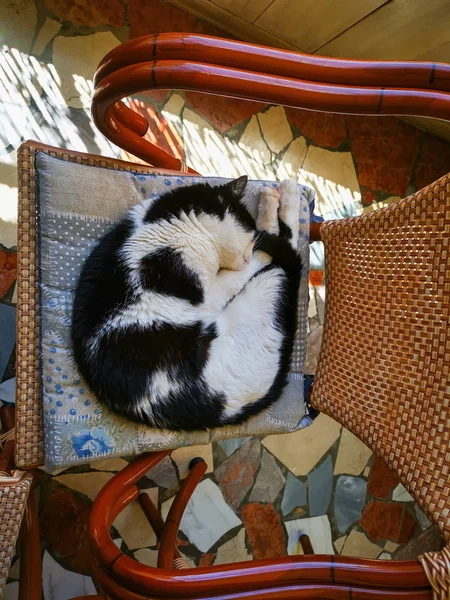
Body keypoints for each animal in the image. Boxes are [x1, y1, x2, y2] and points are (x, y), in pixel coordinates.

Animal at [72, 176, 300, 428]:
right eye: (249, 241)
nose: (246, 257)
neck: (179, 223)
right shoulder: (210, 293)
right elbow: (259, 254)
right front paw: (259, 249)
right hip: (262, 292)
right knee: (286, 250)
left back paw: (278, 195)